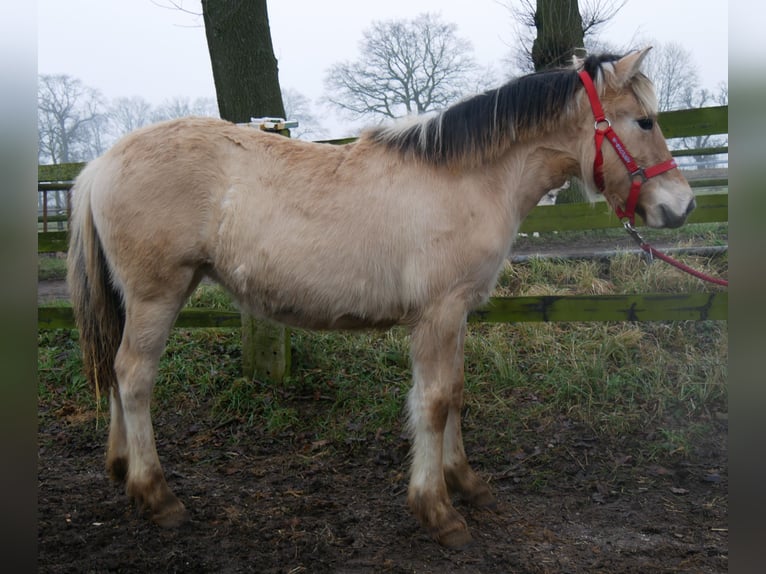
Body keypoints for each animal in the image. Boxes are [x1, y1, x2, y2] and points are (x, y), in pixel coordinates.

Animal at [69, 49, 700, 548]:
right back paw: (157, 496)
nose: (682, 206)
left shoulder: (457, 314)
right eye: (644, 120)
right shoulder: (437, 314)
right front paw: (437, 510)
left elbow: (455, 393)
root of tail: (101, 163)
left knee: (118, 374)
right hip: (157, 294)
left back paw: (122, 469)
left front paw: (466, 484)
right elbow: (435, 402)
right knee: (134, 377)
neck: (465, 179)